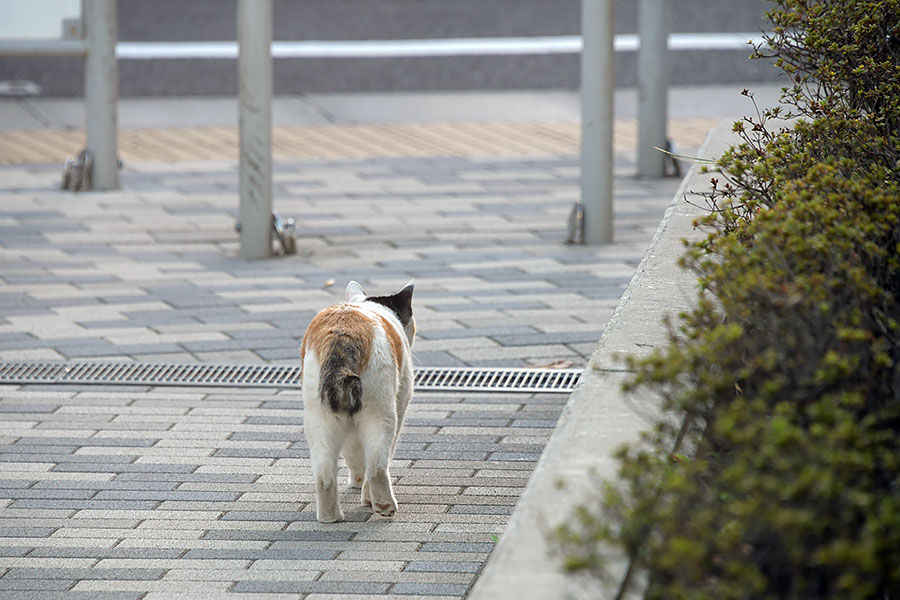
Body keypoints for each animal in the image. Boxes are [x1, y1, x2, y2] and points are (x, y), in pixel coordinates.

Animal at [300, 280, 416, 520]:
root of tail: (342, 335)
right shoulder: (401, 402)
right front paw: (365, 494)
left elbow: (352, 453)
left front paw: (355, 481)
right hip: (382, 412)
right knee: (378, 465)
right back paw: (383, 505)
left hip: (319, 418)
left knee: (324, 473)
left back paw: (330, 517)